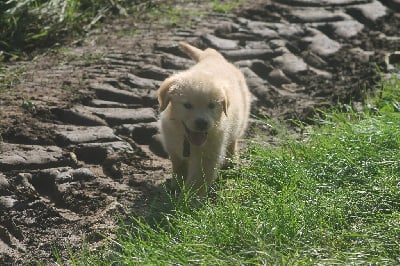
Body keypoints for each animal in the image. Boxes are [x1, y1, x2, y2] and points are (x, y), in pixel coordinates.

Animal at [158, 41, 248, 195]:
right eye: (187, 105)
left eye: (211, 105)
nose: (202, 123)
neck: (187, 140)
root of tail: (212, 56)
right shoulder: (174, 148)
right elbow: (178, 167)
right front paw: (176, 185)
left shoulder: (207, 156)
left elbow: (198, 179)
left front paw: (189, 198)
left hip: (240, 123)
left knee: (233, 142)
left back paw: (232, 162)